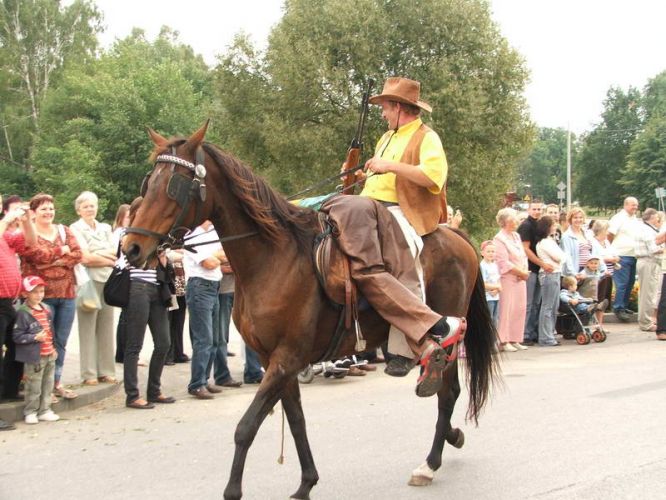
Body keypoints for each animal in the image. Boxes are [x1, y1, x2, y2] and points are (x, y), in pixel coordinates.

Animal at [123, 122, 498, 500]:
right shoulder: (277, 361)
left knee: (447, 391)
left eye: (174, 185)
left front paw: (234, 491)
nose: (131, 247)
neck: (274, 258)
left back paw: (430, 460)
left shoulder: (286, 359)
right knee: (447, 391)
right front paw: (306, 483)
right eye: (148, 184)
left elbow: (246, 427)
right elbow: (296, 420)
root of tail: (455, 234)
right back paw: (448, 437)